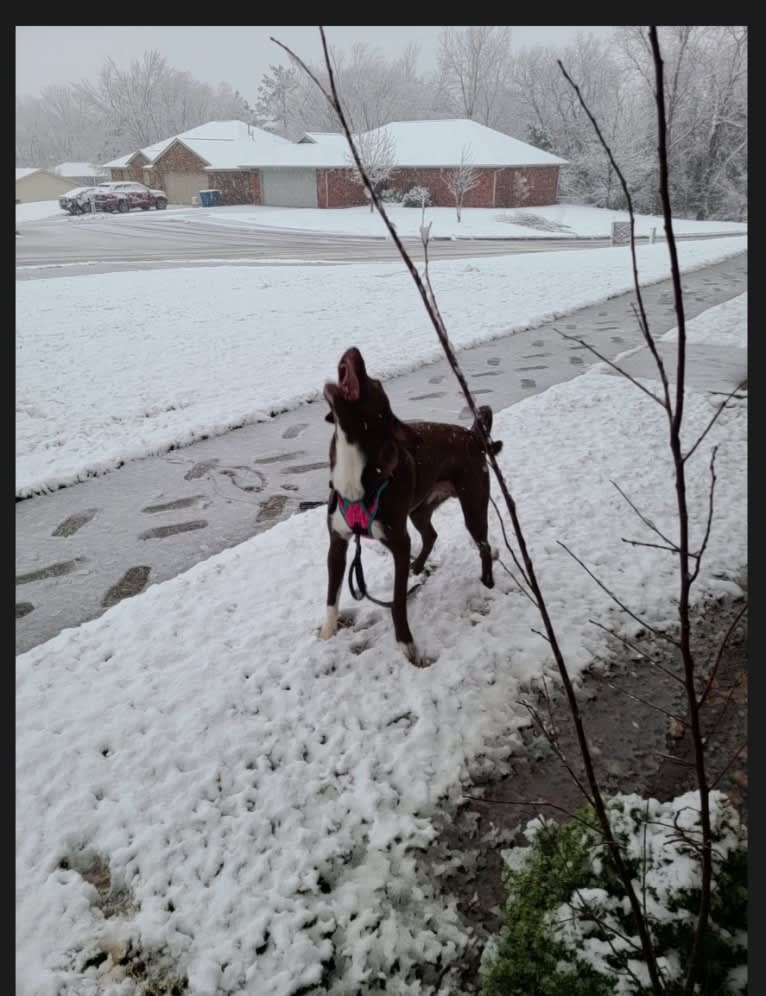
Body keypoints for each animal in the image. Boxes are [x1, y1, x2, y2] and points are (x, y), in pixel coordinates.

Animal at [320, 346, 504, 664]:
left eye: (375, 383)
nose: (353, 350)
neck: (357, 473)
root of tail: (471, 435)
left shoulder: (398, 542)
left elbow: (397, 601)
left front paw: (406, 643)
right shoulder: (338, 542)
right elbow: (332, 595)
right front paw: (327, 632)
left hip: (473, 505)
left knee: (482, 545)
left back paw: (486, 581)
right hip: (419, 510)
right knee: (430, 534)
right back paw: (417, 567)